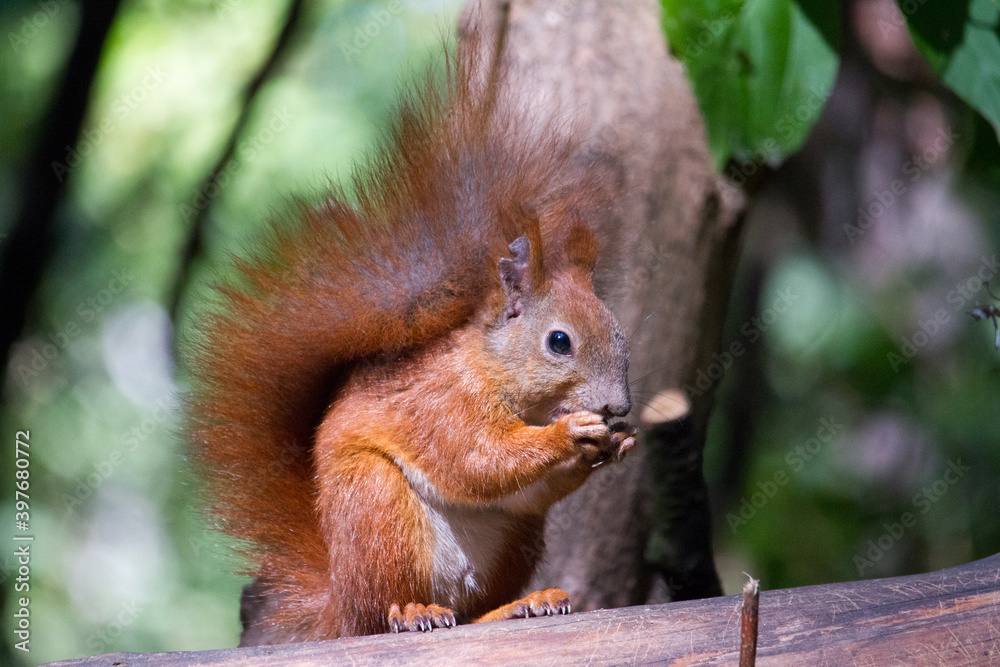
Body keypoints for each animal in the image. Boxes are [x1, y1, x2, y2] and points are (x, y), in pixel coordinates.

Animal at [184, 19, 635, 645]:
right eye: (559, 342)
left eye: (620, 336)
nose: (618, 407)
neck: (494, 367)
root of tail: (338, 602)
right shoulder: (441, 403)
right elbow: (478, 459)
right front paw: (570, 434)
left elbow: (520, 487)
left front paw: (616, 444)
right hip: (378, 508)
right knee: (382, 613)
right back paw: (413, 612)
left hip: (512, 542)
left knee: (470, 609)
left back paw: (519, 605)